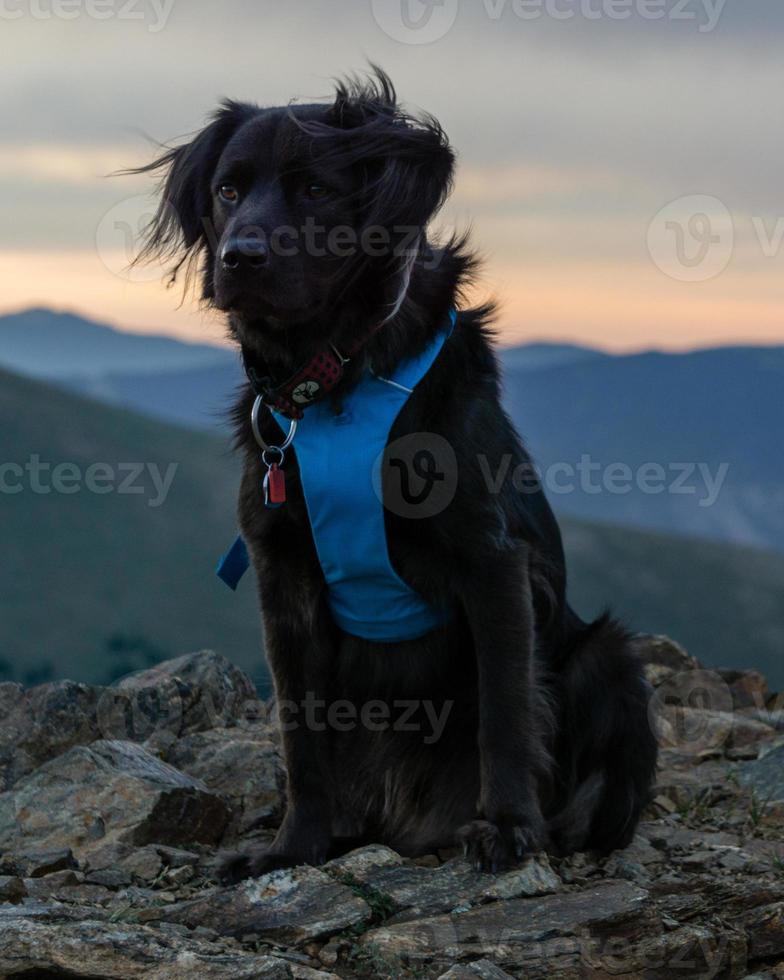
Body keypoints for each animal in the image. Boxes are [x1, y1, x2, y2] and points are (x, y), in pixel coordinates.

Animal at [135, 71, 656, 880]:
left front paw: (509, 828)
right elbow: (301, 733)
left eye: (316, 188)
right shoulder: (282, 575)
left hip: (609, 655)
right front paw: (294, 847)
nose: (240, 256)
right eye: (227, 189)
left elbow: (506, 711)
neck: (336, 374)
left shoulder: (492, 563)